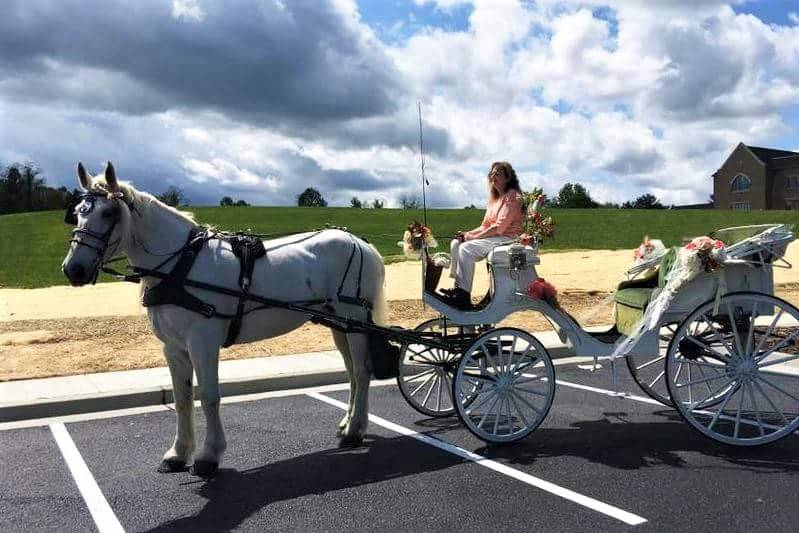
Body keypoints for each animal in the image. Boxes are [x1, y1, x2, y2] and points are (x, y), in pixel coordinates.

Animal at [61, 160, 388, 476]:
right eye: (77, 213)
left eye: (108, 213)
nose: (73, 269)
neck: (180, 265)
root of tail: (361, 243)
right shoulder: (173, 348)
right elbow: (182, 399)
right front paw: (178, 454)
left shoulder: (203, 343)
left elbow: (208, 397)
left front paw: (208, 456)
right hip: (339, 325)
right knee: (351, 372)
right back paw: (348, 423)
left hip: (354, 321)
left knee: (361, 372)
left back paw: (354, 431)